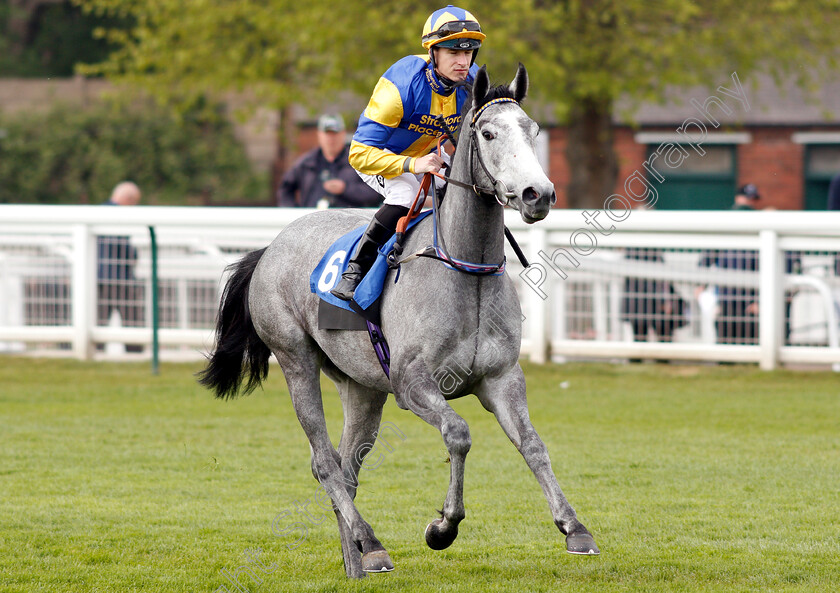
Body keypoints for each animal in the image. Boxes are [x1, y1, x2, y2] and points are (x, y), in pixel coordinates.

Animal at [200, 65, 600, 580]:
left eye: (532, 131)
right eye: (489, 133)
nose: (539, 194)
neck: (463, 270)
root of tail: (270, 247)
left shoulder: (502, 379)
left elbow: (533, 445)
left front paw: (575, 528)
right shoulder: (413, 384)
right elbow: (458, 433)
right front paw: (443, 527)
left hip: (362, 387)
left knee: (346, 467)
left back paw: (358, 559)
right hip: (296, 360)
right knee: (324, 463)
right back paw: (371, 543)